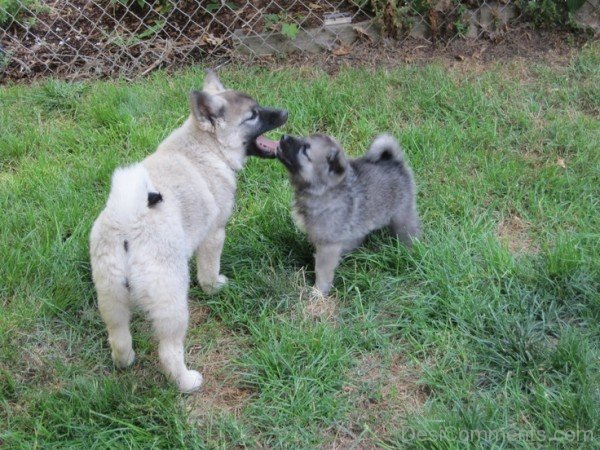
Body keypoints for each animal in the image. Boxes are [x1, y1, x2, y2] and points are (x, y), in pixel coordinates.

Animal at [276, 134, 420, 296]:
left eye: (305, 150)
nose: (284, 137)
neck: (323, 190)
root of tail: (394, 161)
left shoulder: (328, 245)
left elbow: (322, 270)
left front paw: (319, 291)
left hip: (402, 213)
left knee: (408, 232)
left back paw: (408, 251)